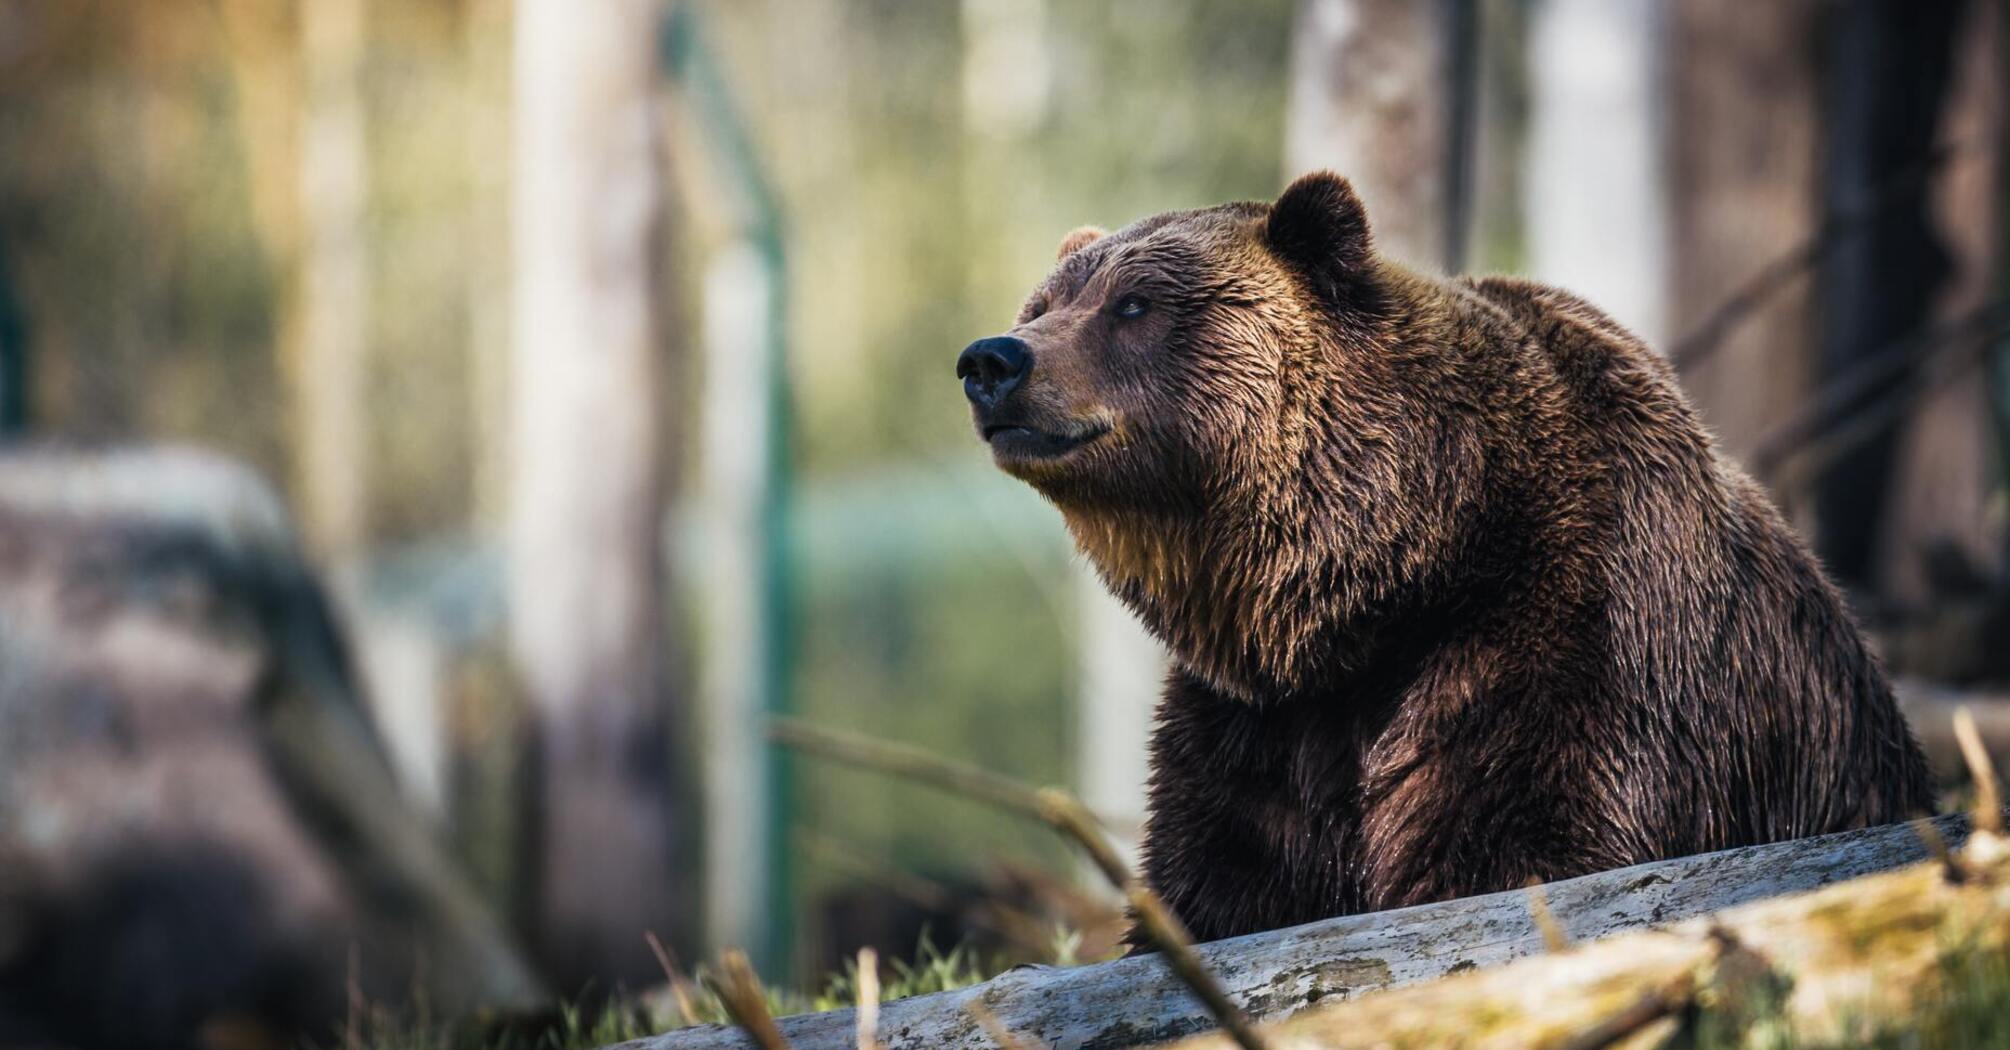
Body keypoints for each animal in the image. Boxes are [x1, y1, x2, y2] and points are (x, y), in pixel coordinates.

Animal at [952, 171, 1929, 941]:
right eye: (1044, 305)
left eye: (1134, 305)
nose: (993, 360)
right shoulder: (1259, 726)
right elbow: (1220, 883)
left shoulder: (1569, 638)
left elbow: (1518, 845)